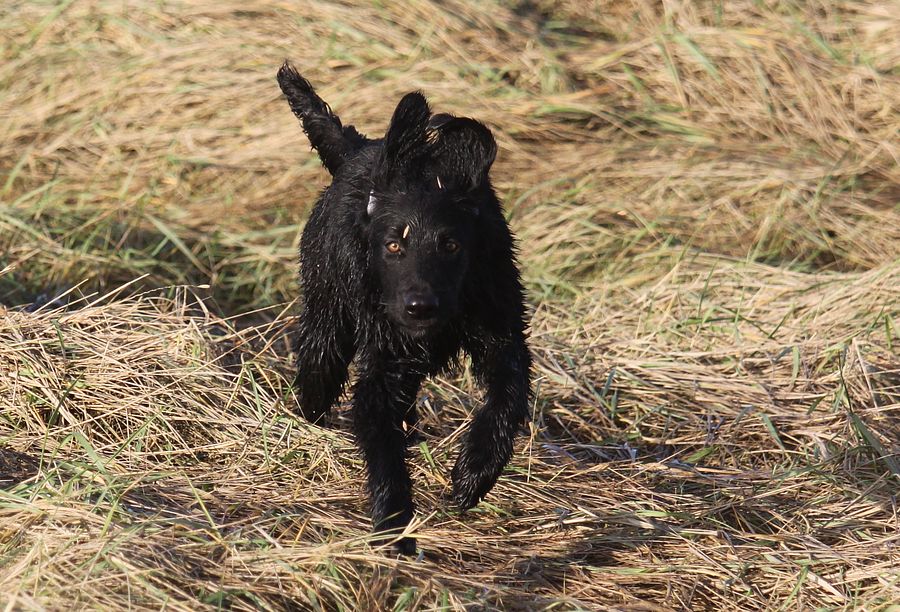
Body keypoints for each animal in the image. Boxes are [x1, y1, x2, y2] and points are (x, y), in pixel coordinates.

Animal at [277, 62, 531, 554]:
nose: (419, 307)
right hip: (326, 325)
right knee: (317, 378)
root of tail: (359, 149)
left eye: (451, 244)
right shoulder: (384, 361)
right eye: (394, 244)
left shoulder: (502, 335)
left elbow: (506, 400)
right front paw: (394, 523)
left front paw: (473, 474)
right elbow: (381, 439)